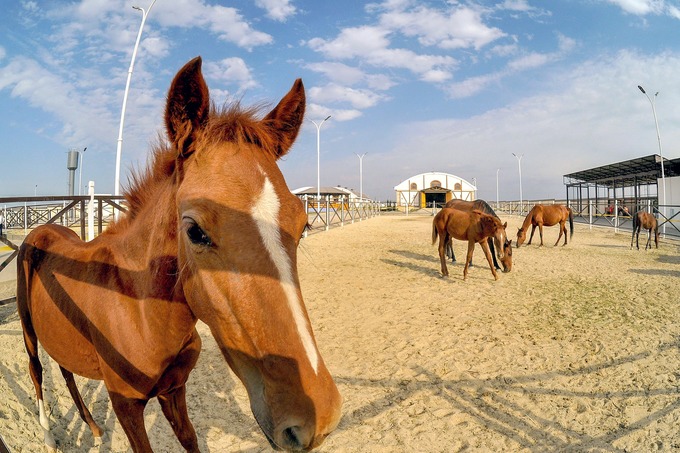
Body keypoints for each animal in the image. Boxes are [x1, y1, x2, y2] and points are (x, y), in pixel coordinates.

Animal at [17, 57, 340, 452]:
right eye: (195, 231)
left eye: (303, 223)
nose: (317, 419)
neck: (140, 311)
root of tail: (40, 231)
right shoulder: (126, 404)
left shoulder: (174, 390)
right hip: (27, 328)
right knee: (36, 370)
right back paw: (49, 436)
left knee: (64, 368)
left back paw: (92, 428)